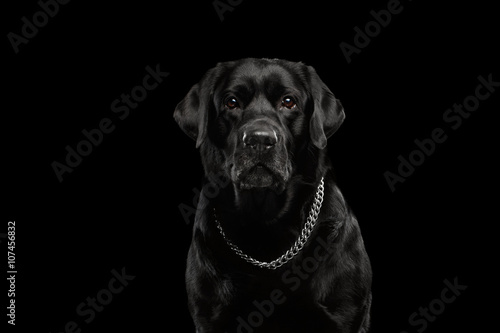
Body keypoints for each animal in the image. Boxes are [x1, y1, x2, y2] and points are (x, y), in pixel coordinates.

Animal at [175, 58, 372, 330]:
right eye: (231, 102)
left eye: (288, 101)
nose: (260, 140)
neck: (265, 222)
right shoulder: (208, 316)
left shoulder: (346, 314)